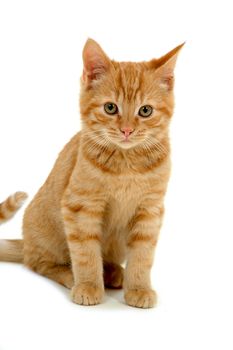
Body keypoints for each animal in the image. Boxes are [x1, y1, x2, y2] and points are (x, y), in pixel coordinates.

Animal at [0, 39, 183, 308]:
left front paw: (139, 288)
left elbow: (142, 255)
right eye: (110, 107)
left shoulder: (150, 210)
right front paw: (88, 285)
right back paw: (72, 276)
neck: (126, 164)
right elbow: (86, 252)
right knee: (40, 263)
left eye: (145, 111)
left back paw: (115, 273)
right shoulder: (80, 206)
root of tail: (26, 242)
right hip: (48, 237)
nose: (127, 130)